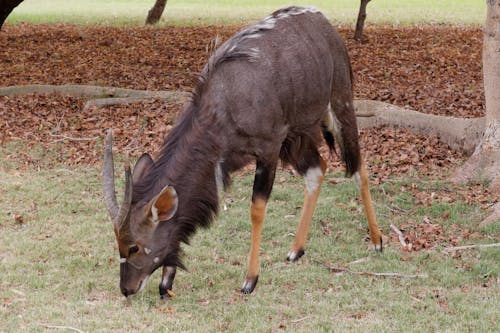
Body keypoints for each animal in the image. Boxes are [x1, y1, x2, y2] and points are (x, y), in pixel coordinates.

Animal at [102, 5, 382, 296]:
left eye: (133, 246)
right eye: (118, 242)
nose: (126, 289)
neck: (224, 103)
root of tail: (323, 21)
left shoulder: (268, 149)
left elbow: (256, 209)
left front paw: (250, 279)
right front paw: (167, 282)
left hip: (339, 107)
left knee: (358, 167)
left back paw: (377, 241)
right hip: (296, 138)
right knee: (318, 169)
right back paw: (296, 250)